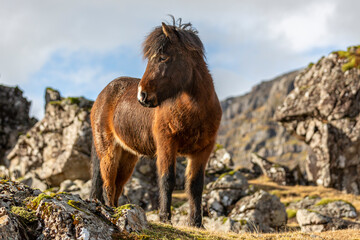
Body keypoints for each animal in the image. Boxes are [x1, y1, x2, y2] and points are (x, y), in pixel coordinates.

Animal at [90, 18, 222, 227]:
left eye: (163, 57)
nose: (142, 96)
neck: (194, 111)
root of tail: (103, 94)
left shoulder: (203, 150)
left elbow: (195, 185)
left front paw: (196, 223)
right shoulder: (166, 143)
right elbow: (167, 180)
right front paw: (165, 218)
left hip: (128, 156)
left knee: (117, 184)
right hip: (108, 150)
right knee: (108, 183)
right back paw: (112, 211)